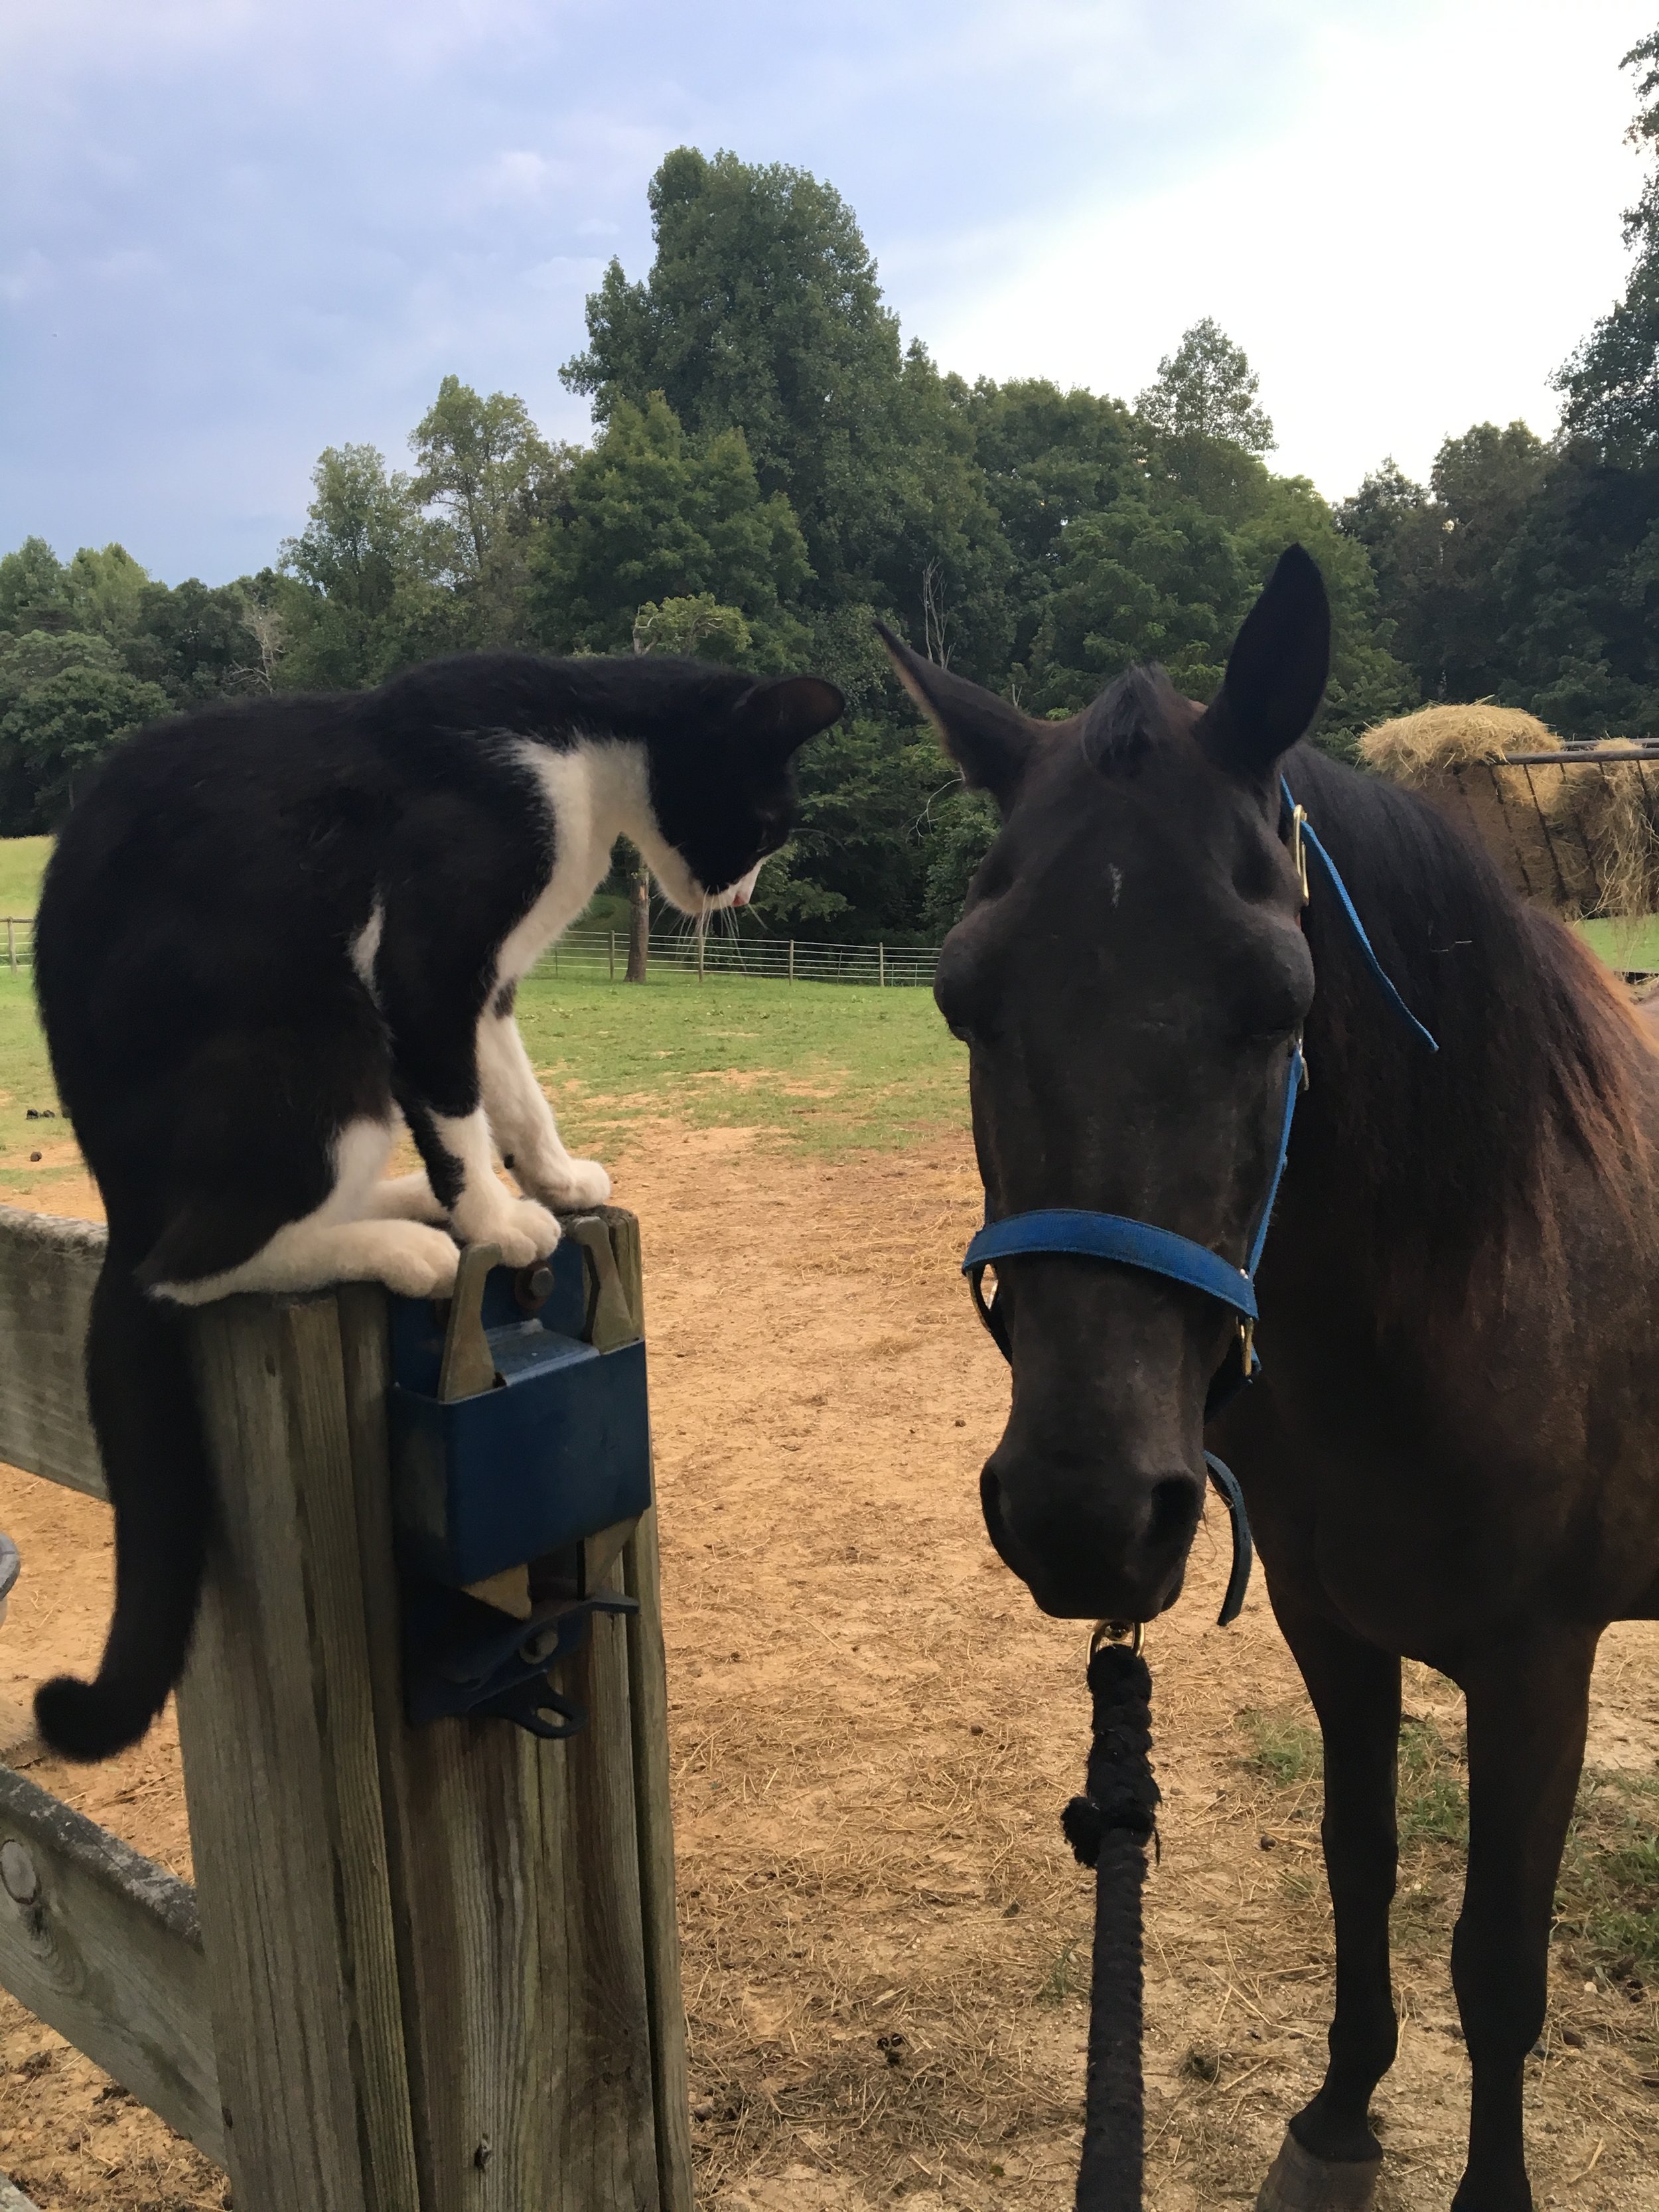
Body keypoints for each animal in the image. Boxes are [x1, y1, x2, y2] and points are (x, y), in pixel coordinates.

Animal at [32, 646, 845, 1751]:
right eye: (766, 823)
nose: (743, 895)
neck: (580, 748)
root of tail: (119, 1212)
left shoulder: (486, 989)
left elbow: (514, 1089)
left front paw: (554, 1178)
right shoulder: (426, 959)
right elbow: (459, 1106)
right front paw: (496, 1223)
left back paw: (409, 1205)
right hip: (323, 1037)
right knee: (189, 1268)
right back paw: (409, 1246)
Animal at [885, 548, 1659, 2212]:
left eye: (1275, 1002)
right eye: (962, 998)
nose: (1083, 1514)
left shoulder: (1537, 1665)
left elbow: (1496, 1961)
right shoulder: (1331, 1623)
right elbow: (1355, 1858)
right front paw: (1336, 2115)